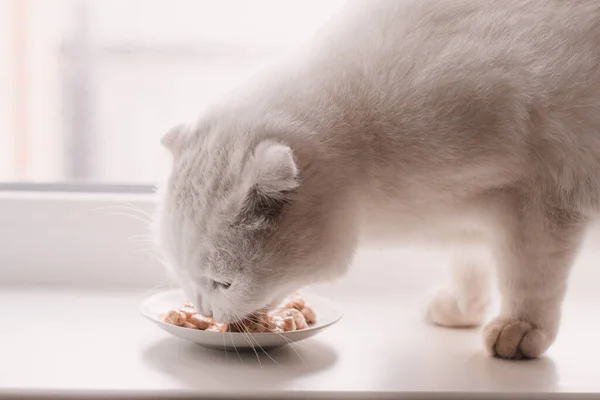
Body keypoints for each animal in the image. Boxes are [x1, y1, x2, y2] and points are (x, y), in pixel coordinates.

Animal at [154, 0, 600, 360]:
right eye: (182, 274)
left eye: (224, 283)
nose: (205, 311)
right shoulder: (465, 209)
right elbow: (469, 261)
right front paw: (463, 308)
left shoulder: (542, 194)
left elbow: (529, 276)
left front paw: (522, 327)